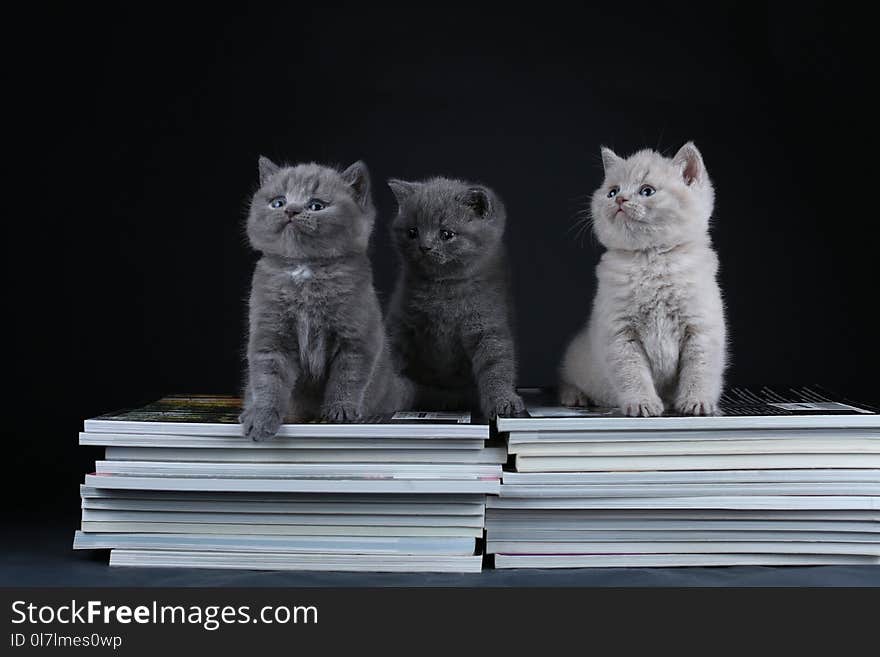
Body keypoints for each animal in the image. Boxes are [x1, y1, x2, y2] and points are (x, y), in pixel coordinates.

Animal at [237, 157, 410, 440]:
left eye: (316, 205)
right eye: (278, 202)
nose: (291, 211)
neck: (306, 270)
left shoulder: (357, 336)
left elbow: (348, 376)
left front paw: (340, 410)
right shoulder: (270, 334)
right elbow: (267, 379)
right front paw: (260, 418)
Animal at [384, 177, 524, 418]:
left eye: (446, 234)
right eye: (412, 232)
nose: (424, 247)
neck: (442, 289)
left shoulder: (489, 324)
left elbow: (497, 363)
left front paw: (503, 400)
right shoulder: (400, 323)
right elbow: (389, 352)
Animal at [560, 143, 724, 416]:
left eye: (647, 191)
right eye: (612, 191)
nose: (619, 199)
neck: (651, 260)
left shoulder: (701, 328)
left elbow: (699, 371)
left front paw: (696, 402)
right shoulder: (619, 333)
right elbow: (632, 373)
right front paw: (642, 403)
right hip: (574, 363)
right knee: (565, 380)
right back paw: (575, 396)